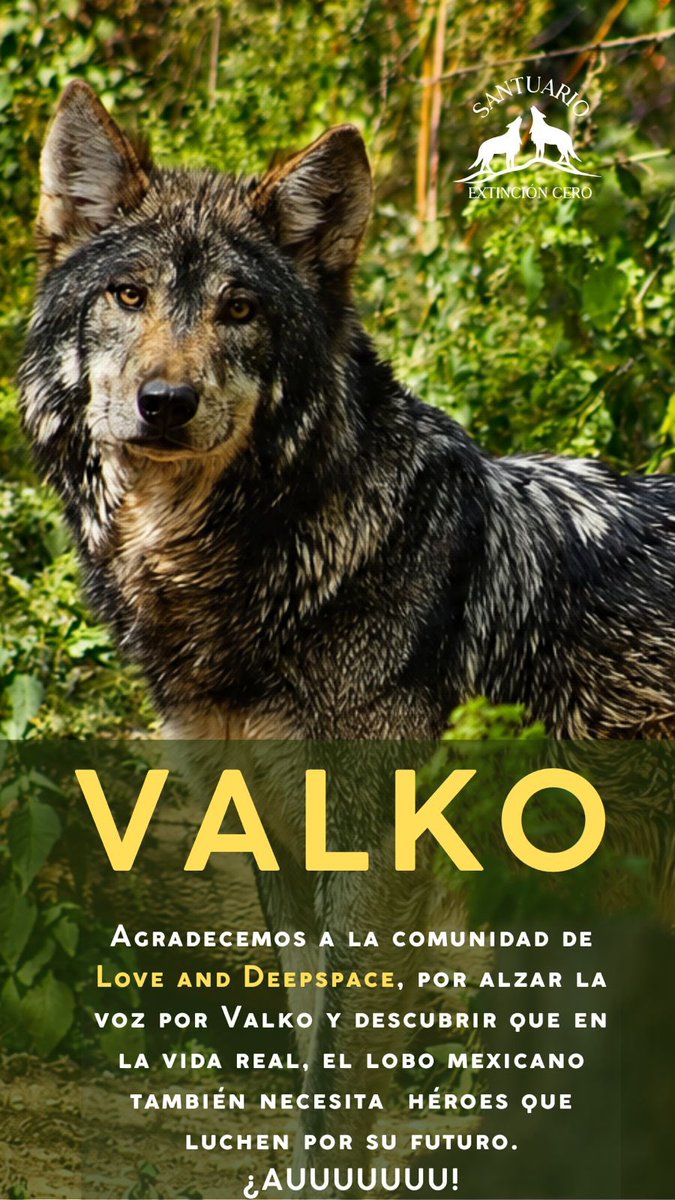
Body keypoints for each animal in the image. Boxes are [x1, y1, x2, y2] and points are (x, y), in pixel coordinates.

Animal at [19, 82, 675, 1188]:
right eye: (128, 297)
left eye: (239, 310)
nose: (165, 402)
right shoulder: (275, 842)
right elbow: (307, 1037)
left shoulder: (374, 855)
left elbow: (344, 1066)